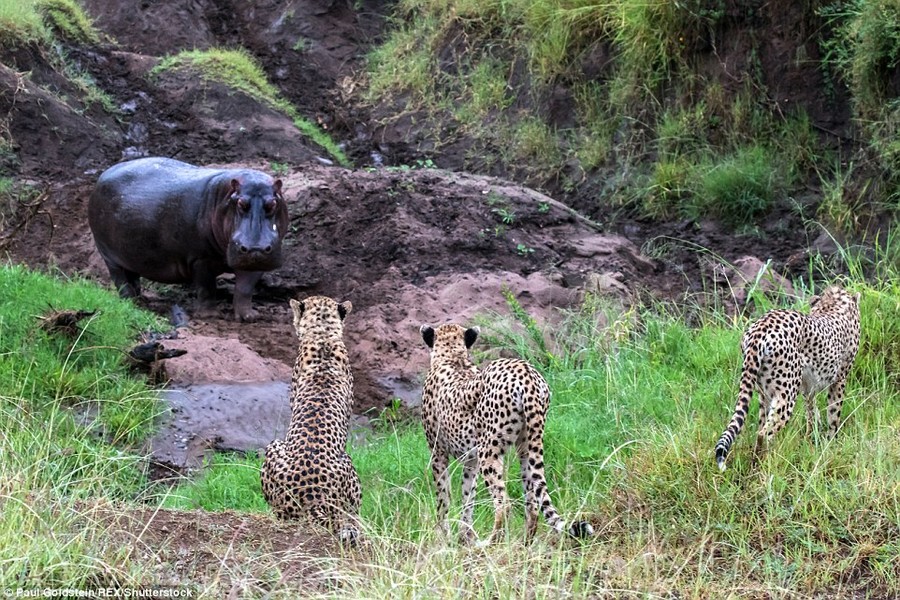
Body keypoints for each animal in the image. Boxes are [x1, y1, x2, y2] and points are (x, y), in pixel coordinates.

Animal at [420, 324, 596, 544]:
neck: (453, 356)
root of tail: (526, 372)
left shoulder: (438, 454)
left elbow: (443, 498)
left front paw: (443, 536)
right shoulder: (471, 460)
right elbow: (468, 496)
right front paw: (465, 536)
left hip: (489, 452)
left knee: (504, 504)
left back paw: (490, 542)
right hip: (528, 446)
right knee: (532, 501)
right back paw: (525, 544)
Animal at [712, 284, 860, 472]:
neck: (831, 304)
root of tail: (761, 326)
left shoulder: (807, 386)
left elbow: (811, 412)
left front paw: (812, 438)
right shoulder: (839, 379)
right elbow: (833, 414)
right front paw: (831, 442)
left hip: (764, 392)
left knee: (760, 426)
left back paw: (756, 463)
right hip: (786, 394)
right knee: (764, 433)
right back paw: (769, 463)